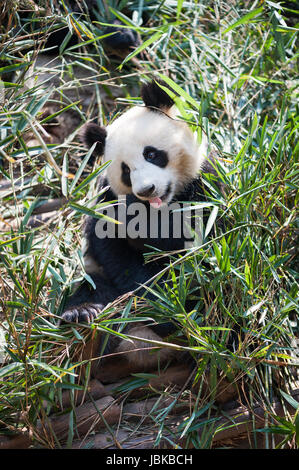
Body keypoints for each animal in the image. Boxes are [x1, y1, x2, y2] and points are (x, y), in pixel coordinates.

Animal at [61, 80, 223, 374]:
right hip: (94, 277)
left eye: (151, 153)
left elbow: (200, 246)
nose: (146, 190)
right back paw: (83, 312)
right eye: (125, 170)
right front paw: (161, 303)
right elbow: (115, 251)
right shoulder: (107, 200)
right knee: (92, 287)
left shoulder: (206, 187)